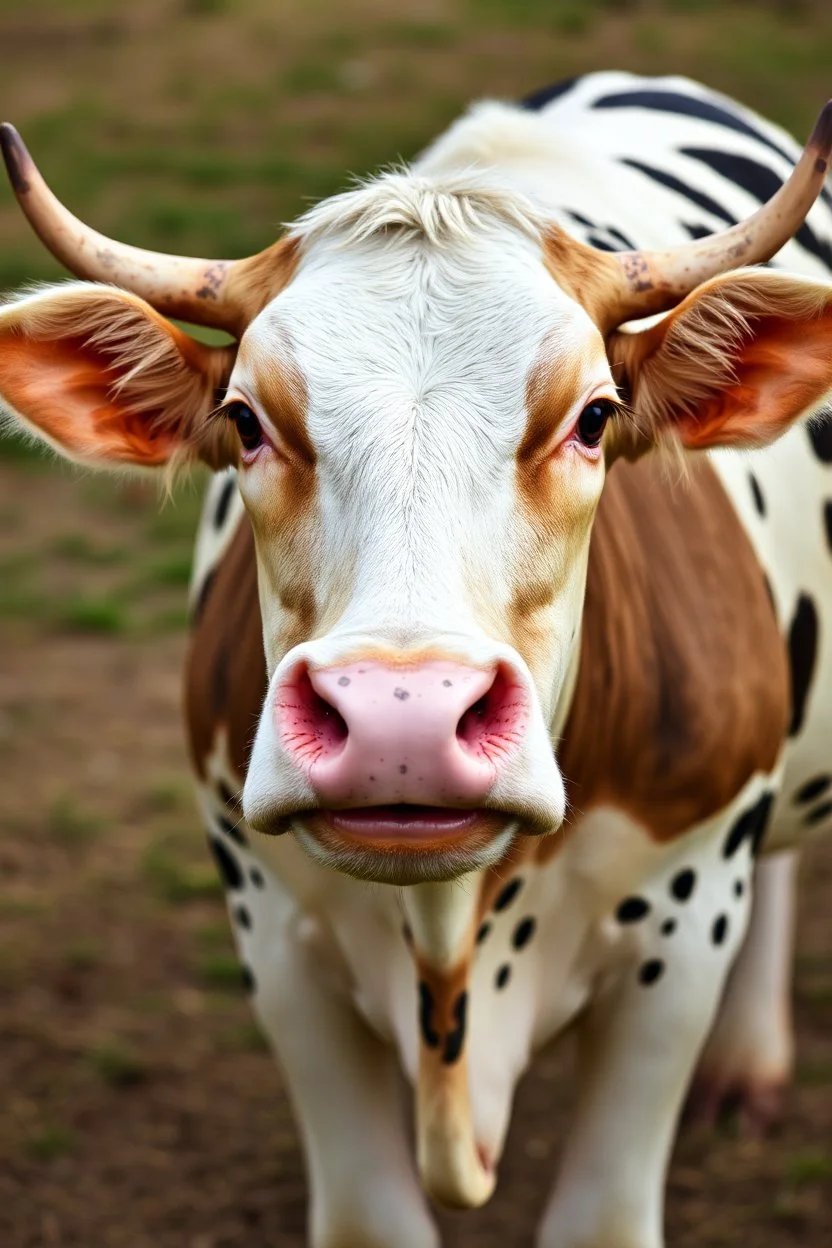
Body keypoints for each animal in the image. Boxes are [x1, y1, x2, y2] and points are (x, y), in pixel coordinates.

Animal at [1, 69, 831, 1247]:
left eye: (594, 418)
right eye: (245, 422)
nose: (403, 716)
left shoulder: (686, 917)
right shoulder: (271, 932)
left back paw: (749, 1065)